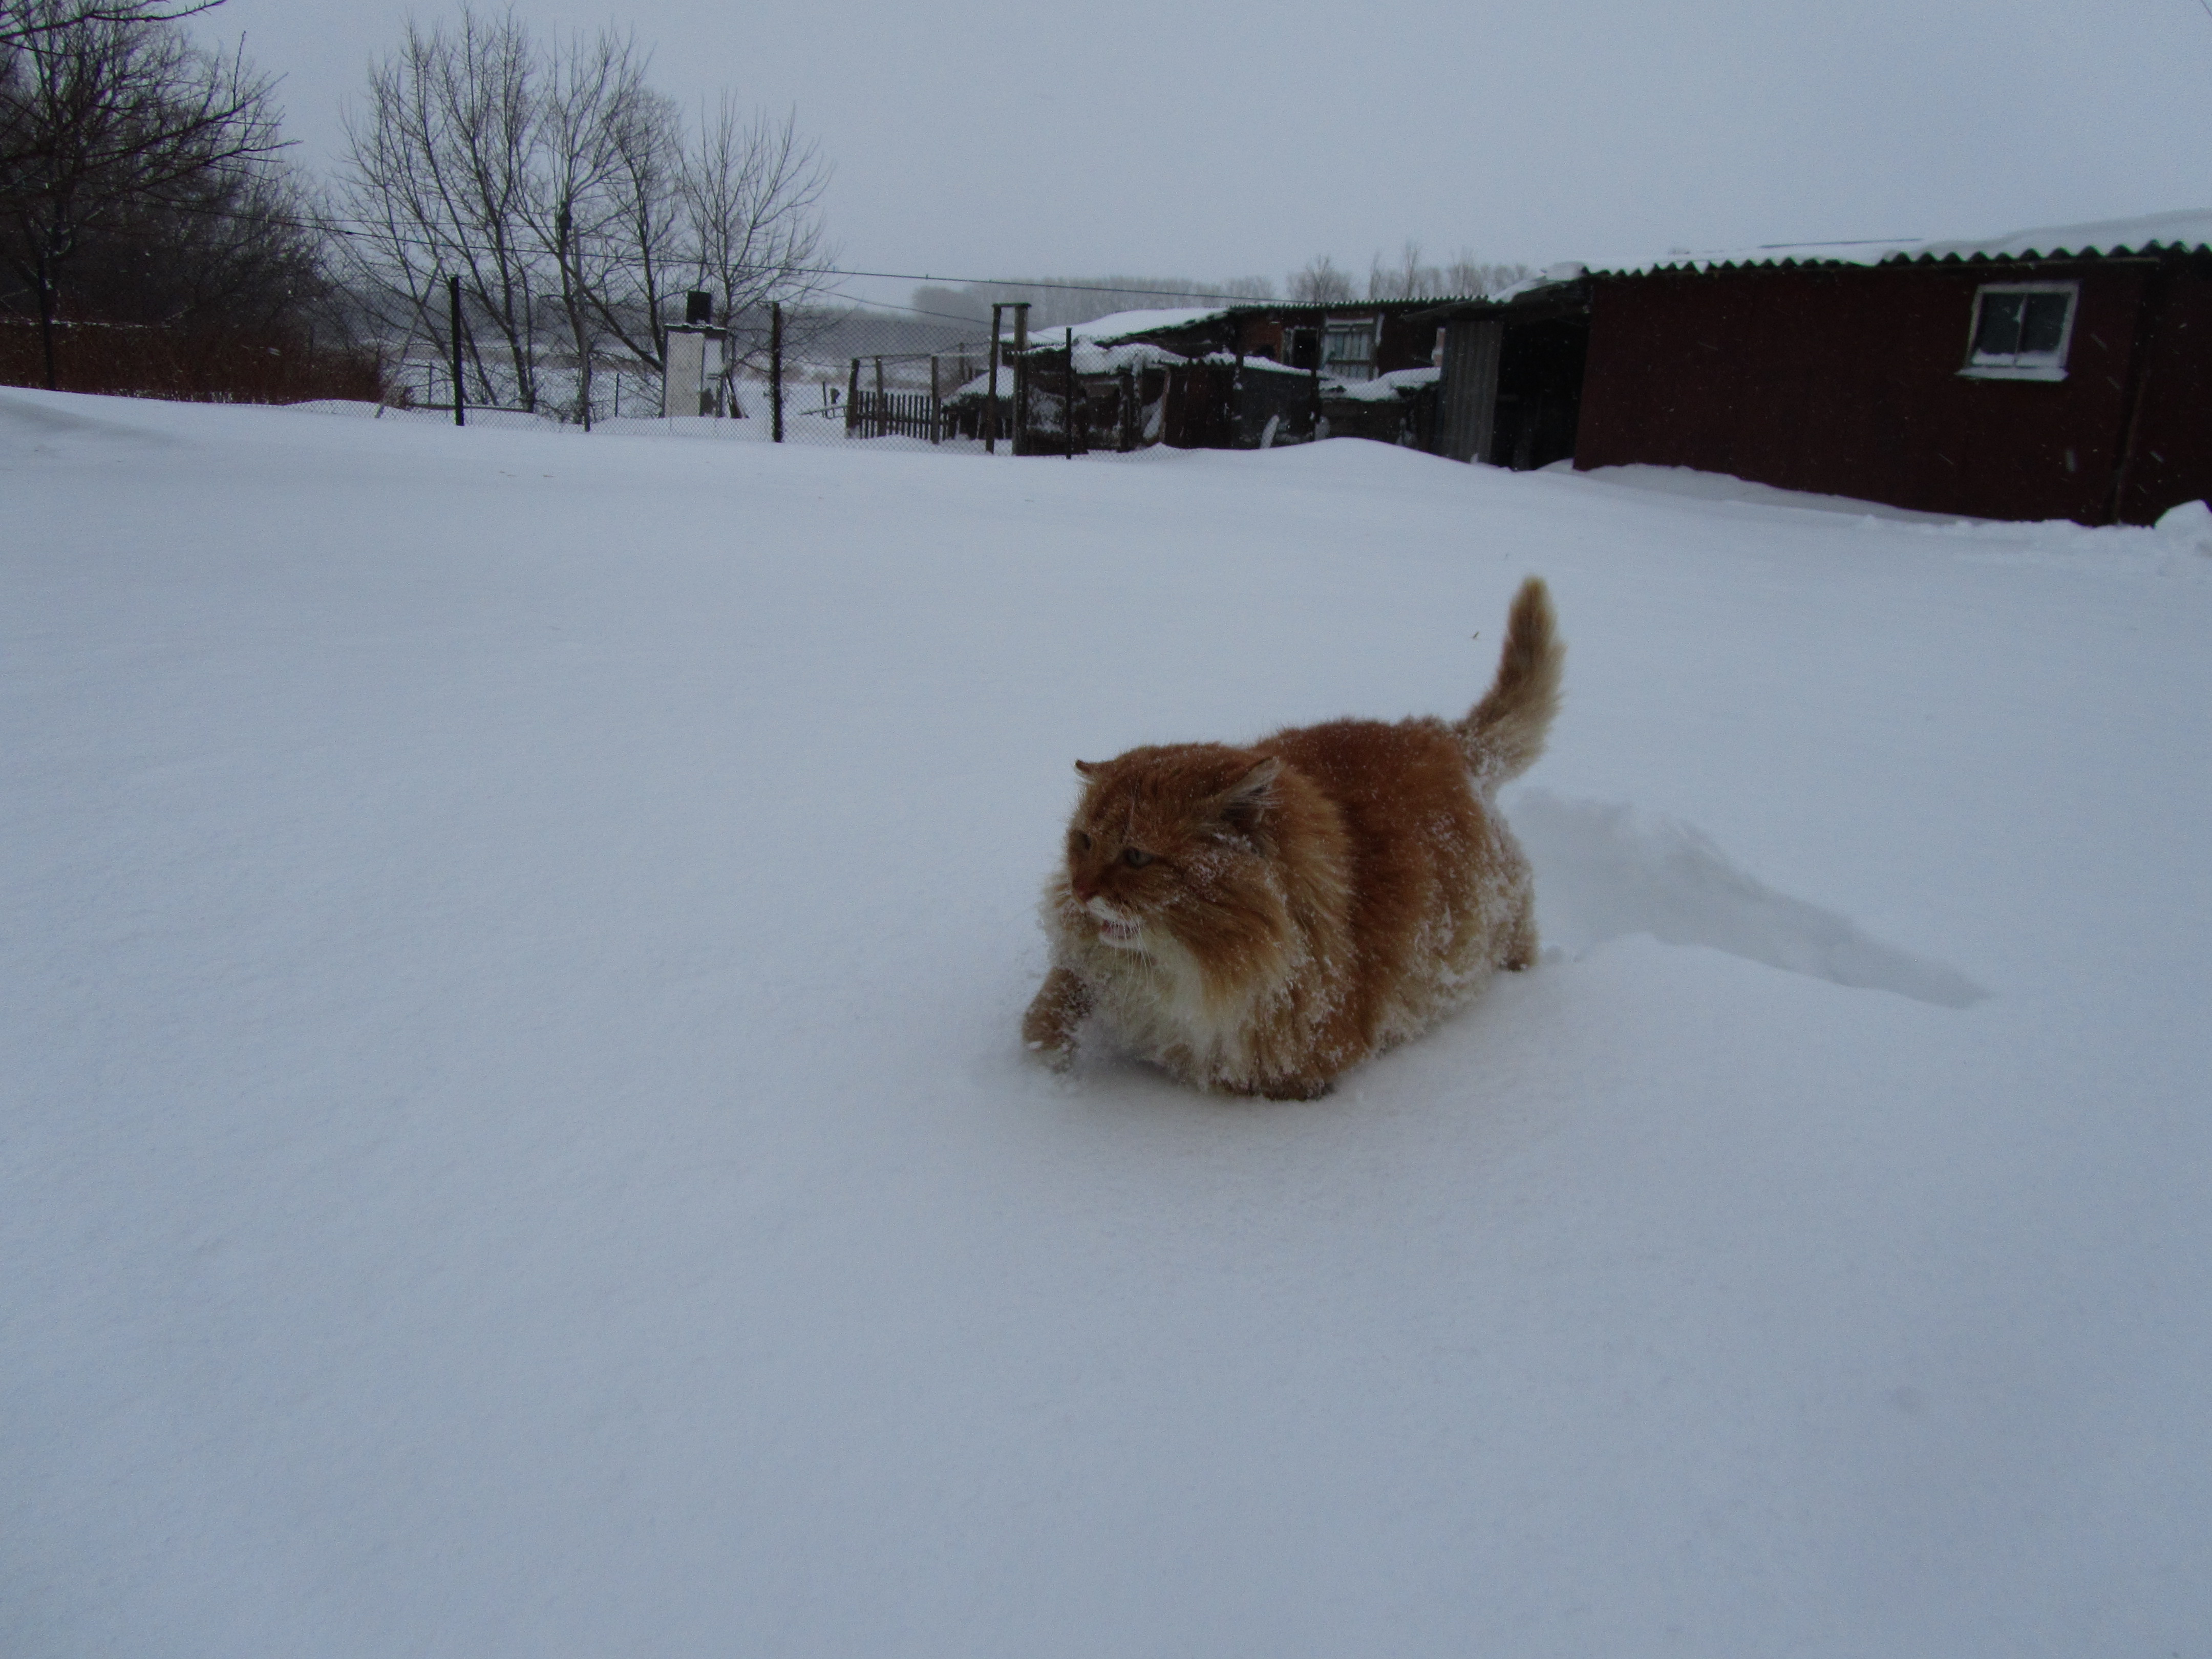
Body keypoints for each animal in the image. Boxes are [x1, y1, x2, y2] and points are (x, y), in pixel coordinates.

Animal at [1026, 579, 1566, 1097]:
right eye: (1084, 842)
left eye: (1137, 856)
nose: (1079, 890)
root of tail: (1449, 739)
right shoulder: (1089, 971)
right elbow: (1051, 1007)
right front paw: (1042, 1055)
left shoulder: (1287, 1071)